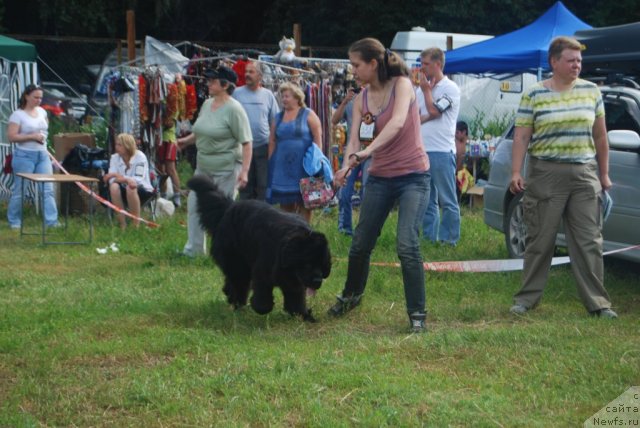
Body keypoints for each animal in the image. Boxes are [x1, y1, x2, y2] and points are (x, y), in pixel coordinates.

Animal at [188, 174, 332, 320]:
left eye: (322, 266)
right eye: (308, 264)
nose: (318, 280)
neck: (285, 251)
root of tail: (229, 207)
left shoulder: (294, 281)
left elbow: (296, 297)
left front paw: (302, 314)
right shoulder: (264, 270)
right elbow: (263, 292)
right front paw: (262, 307)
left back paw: (230, 296)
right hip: (236, 260)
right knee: (239, 281)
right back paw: (238, 303)